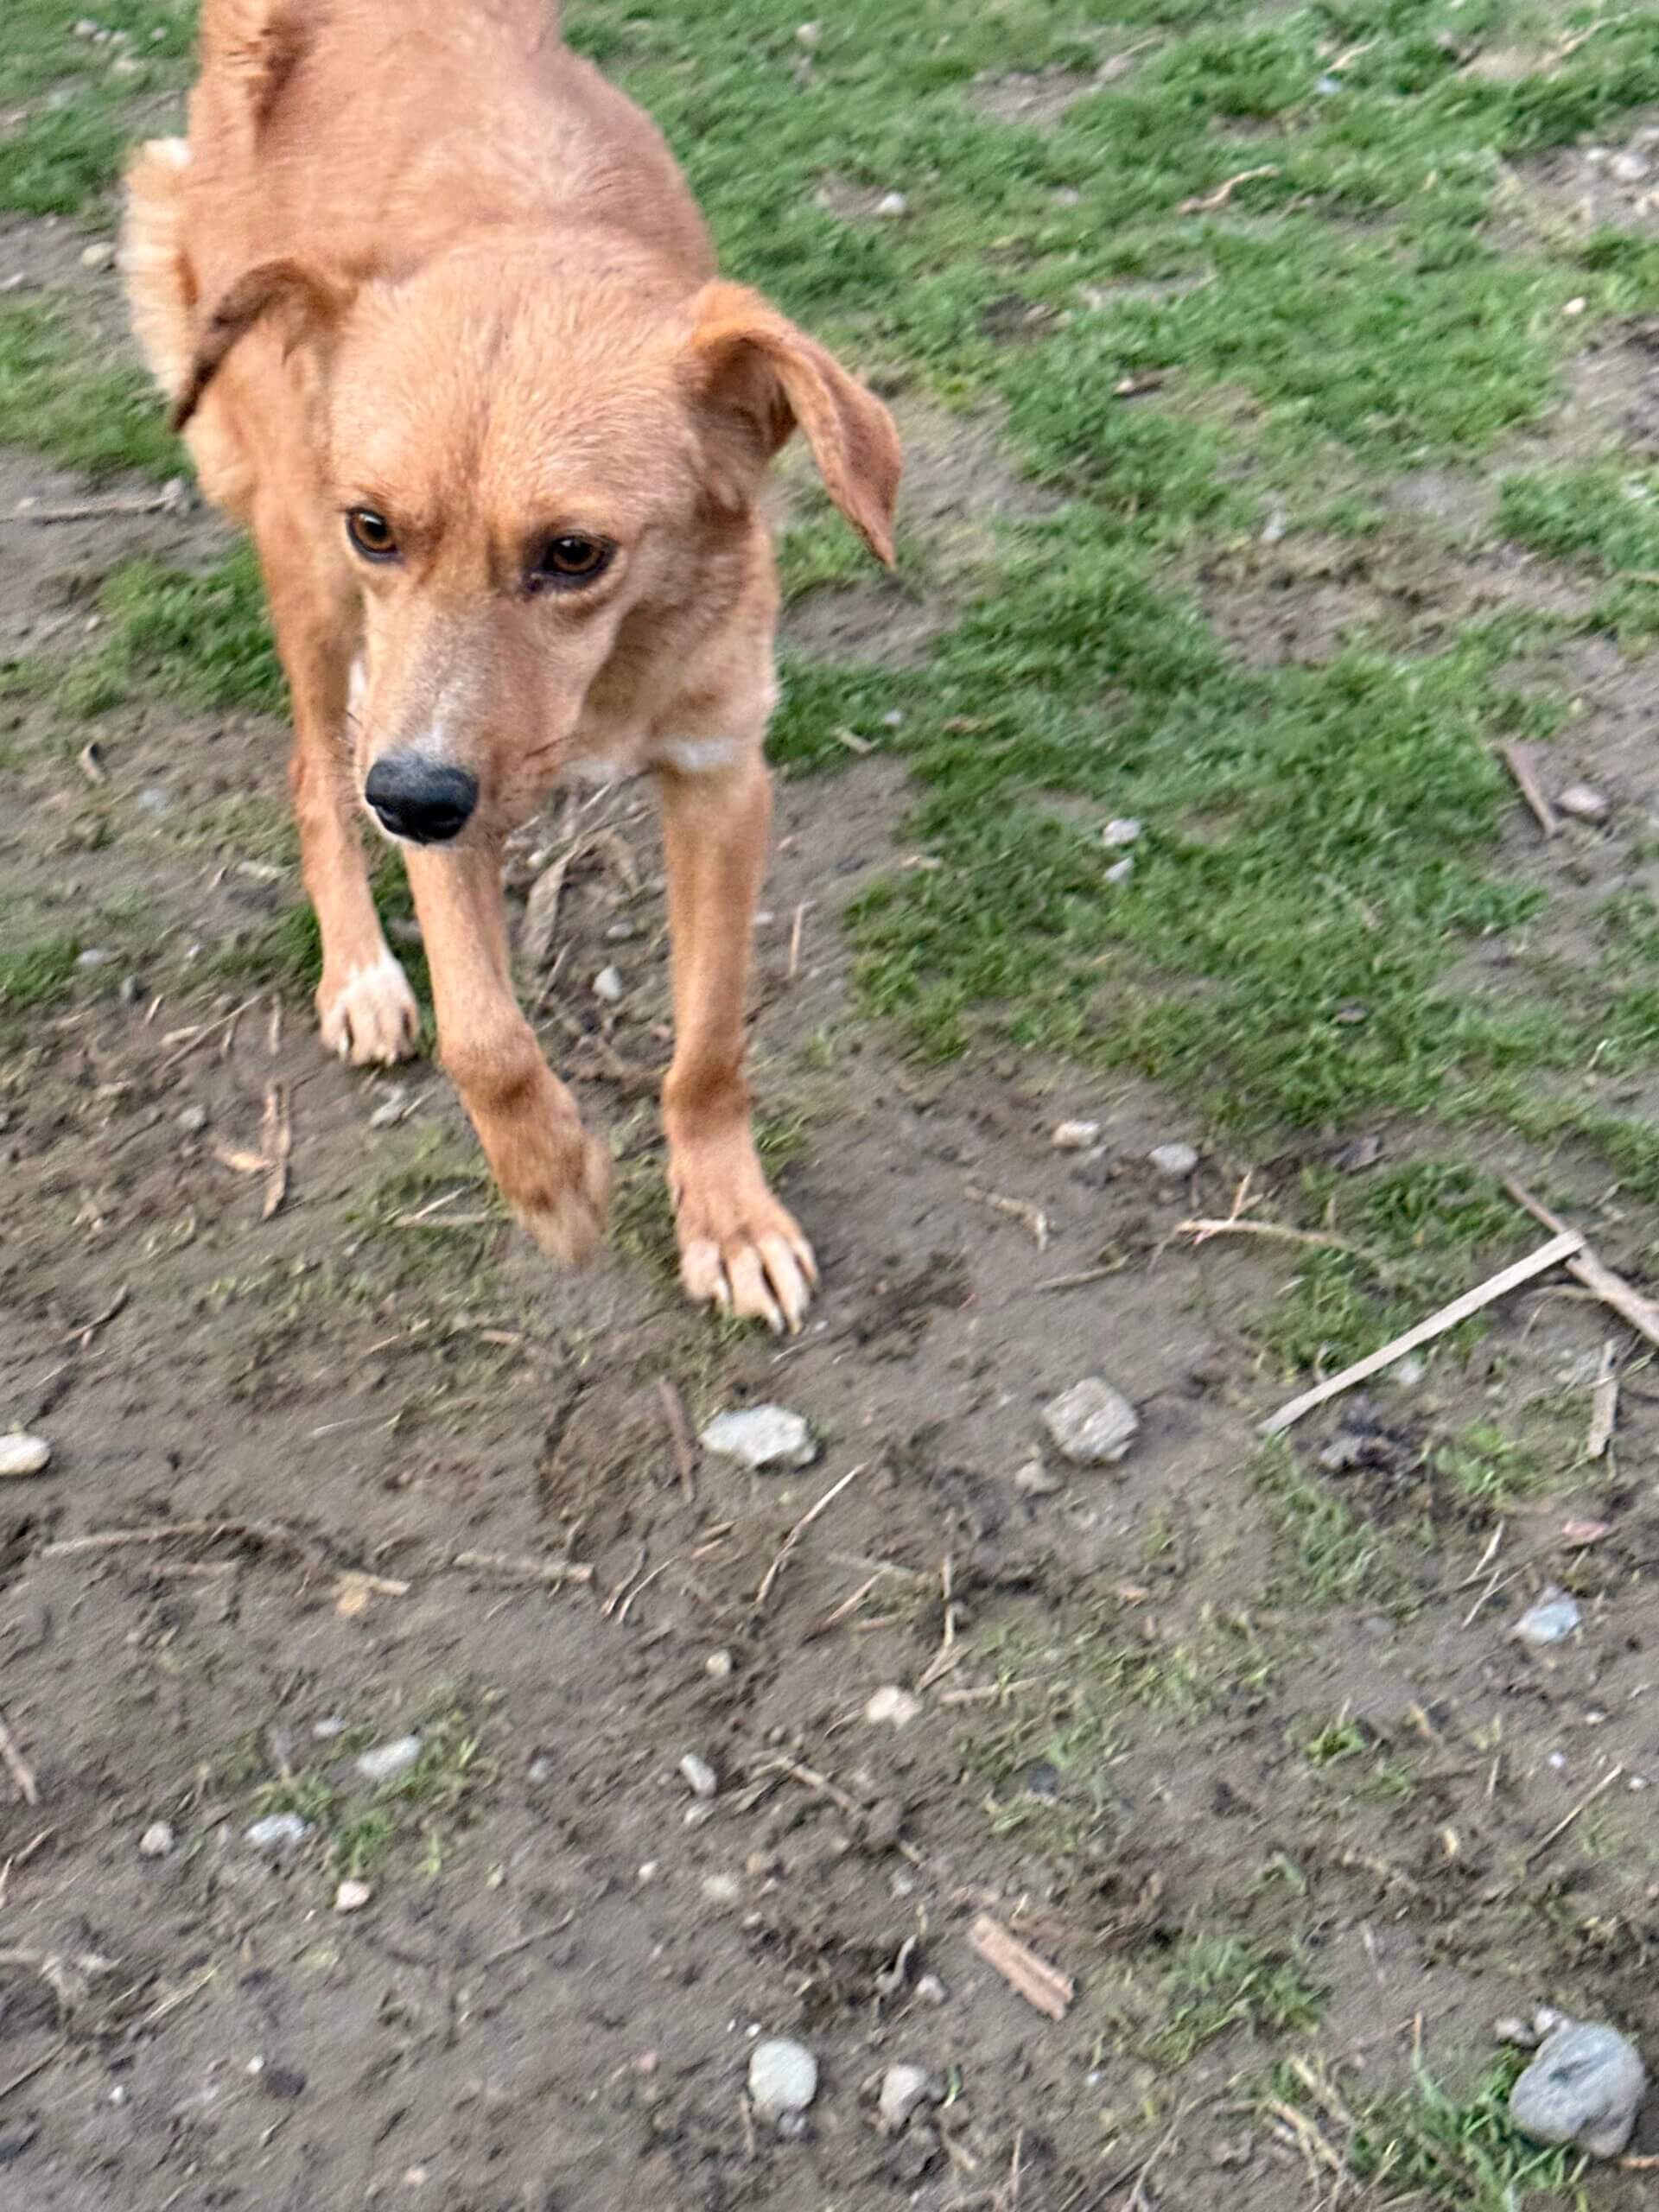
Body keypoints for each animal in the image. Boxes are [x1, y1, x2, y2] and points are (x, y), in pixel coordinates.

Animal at [122, 0, 900, 1334]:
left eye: (574, 552)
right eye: (378, 526)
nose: (413, 800)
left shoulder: (721, 778)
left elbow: (710, 1042)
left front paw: (728, 1217)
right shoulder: (416, 736)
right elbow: (484, 1037)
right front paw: (552, 1181)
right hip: (309, 584)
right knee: (311, 775)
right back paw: (362, 973)